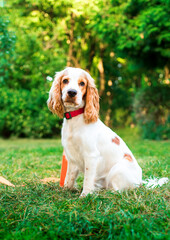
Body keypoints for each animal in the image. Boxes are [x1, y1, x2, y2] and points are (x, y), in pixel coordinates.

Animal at [46, 66, 142, 196]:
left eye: (82, 83)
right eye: (65, 80)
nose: (72, 92)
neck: (74, 119)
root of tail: (141, 182)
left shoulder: (91, 155)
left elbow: (87, 178)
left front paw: (85, 195)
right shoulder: (71, 157)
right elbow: (69, 177)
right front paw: (66, 190)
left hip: (117, 170)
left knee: (117, 190)